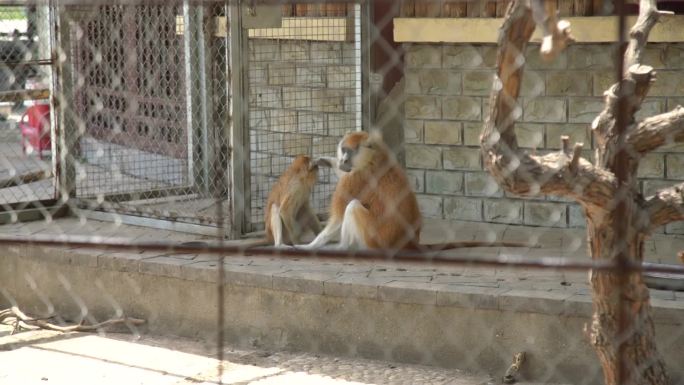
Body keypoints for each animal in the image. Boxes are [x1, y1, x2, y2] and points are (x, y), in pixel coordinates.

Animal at [302, 131, 532, 252]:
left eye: (348, 152)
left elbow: (338, 216)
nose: (342, 159)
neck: (373, 157)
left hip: (375, 240)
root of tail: (410, 243)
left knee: (352, 207)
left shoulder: (357, 176)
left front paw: (310, 246)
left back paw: (343, 248)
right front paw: (325, 160)